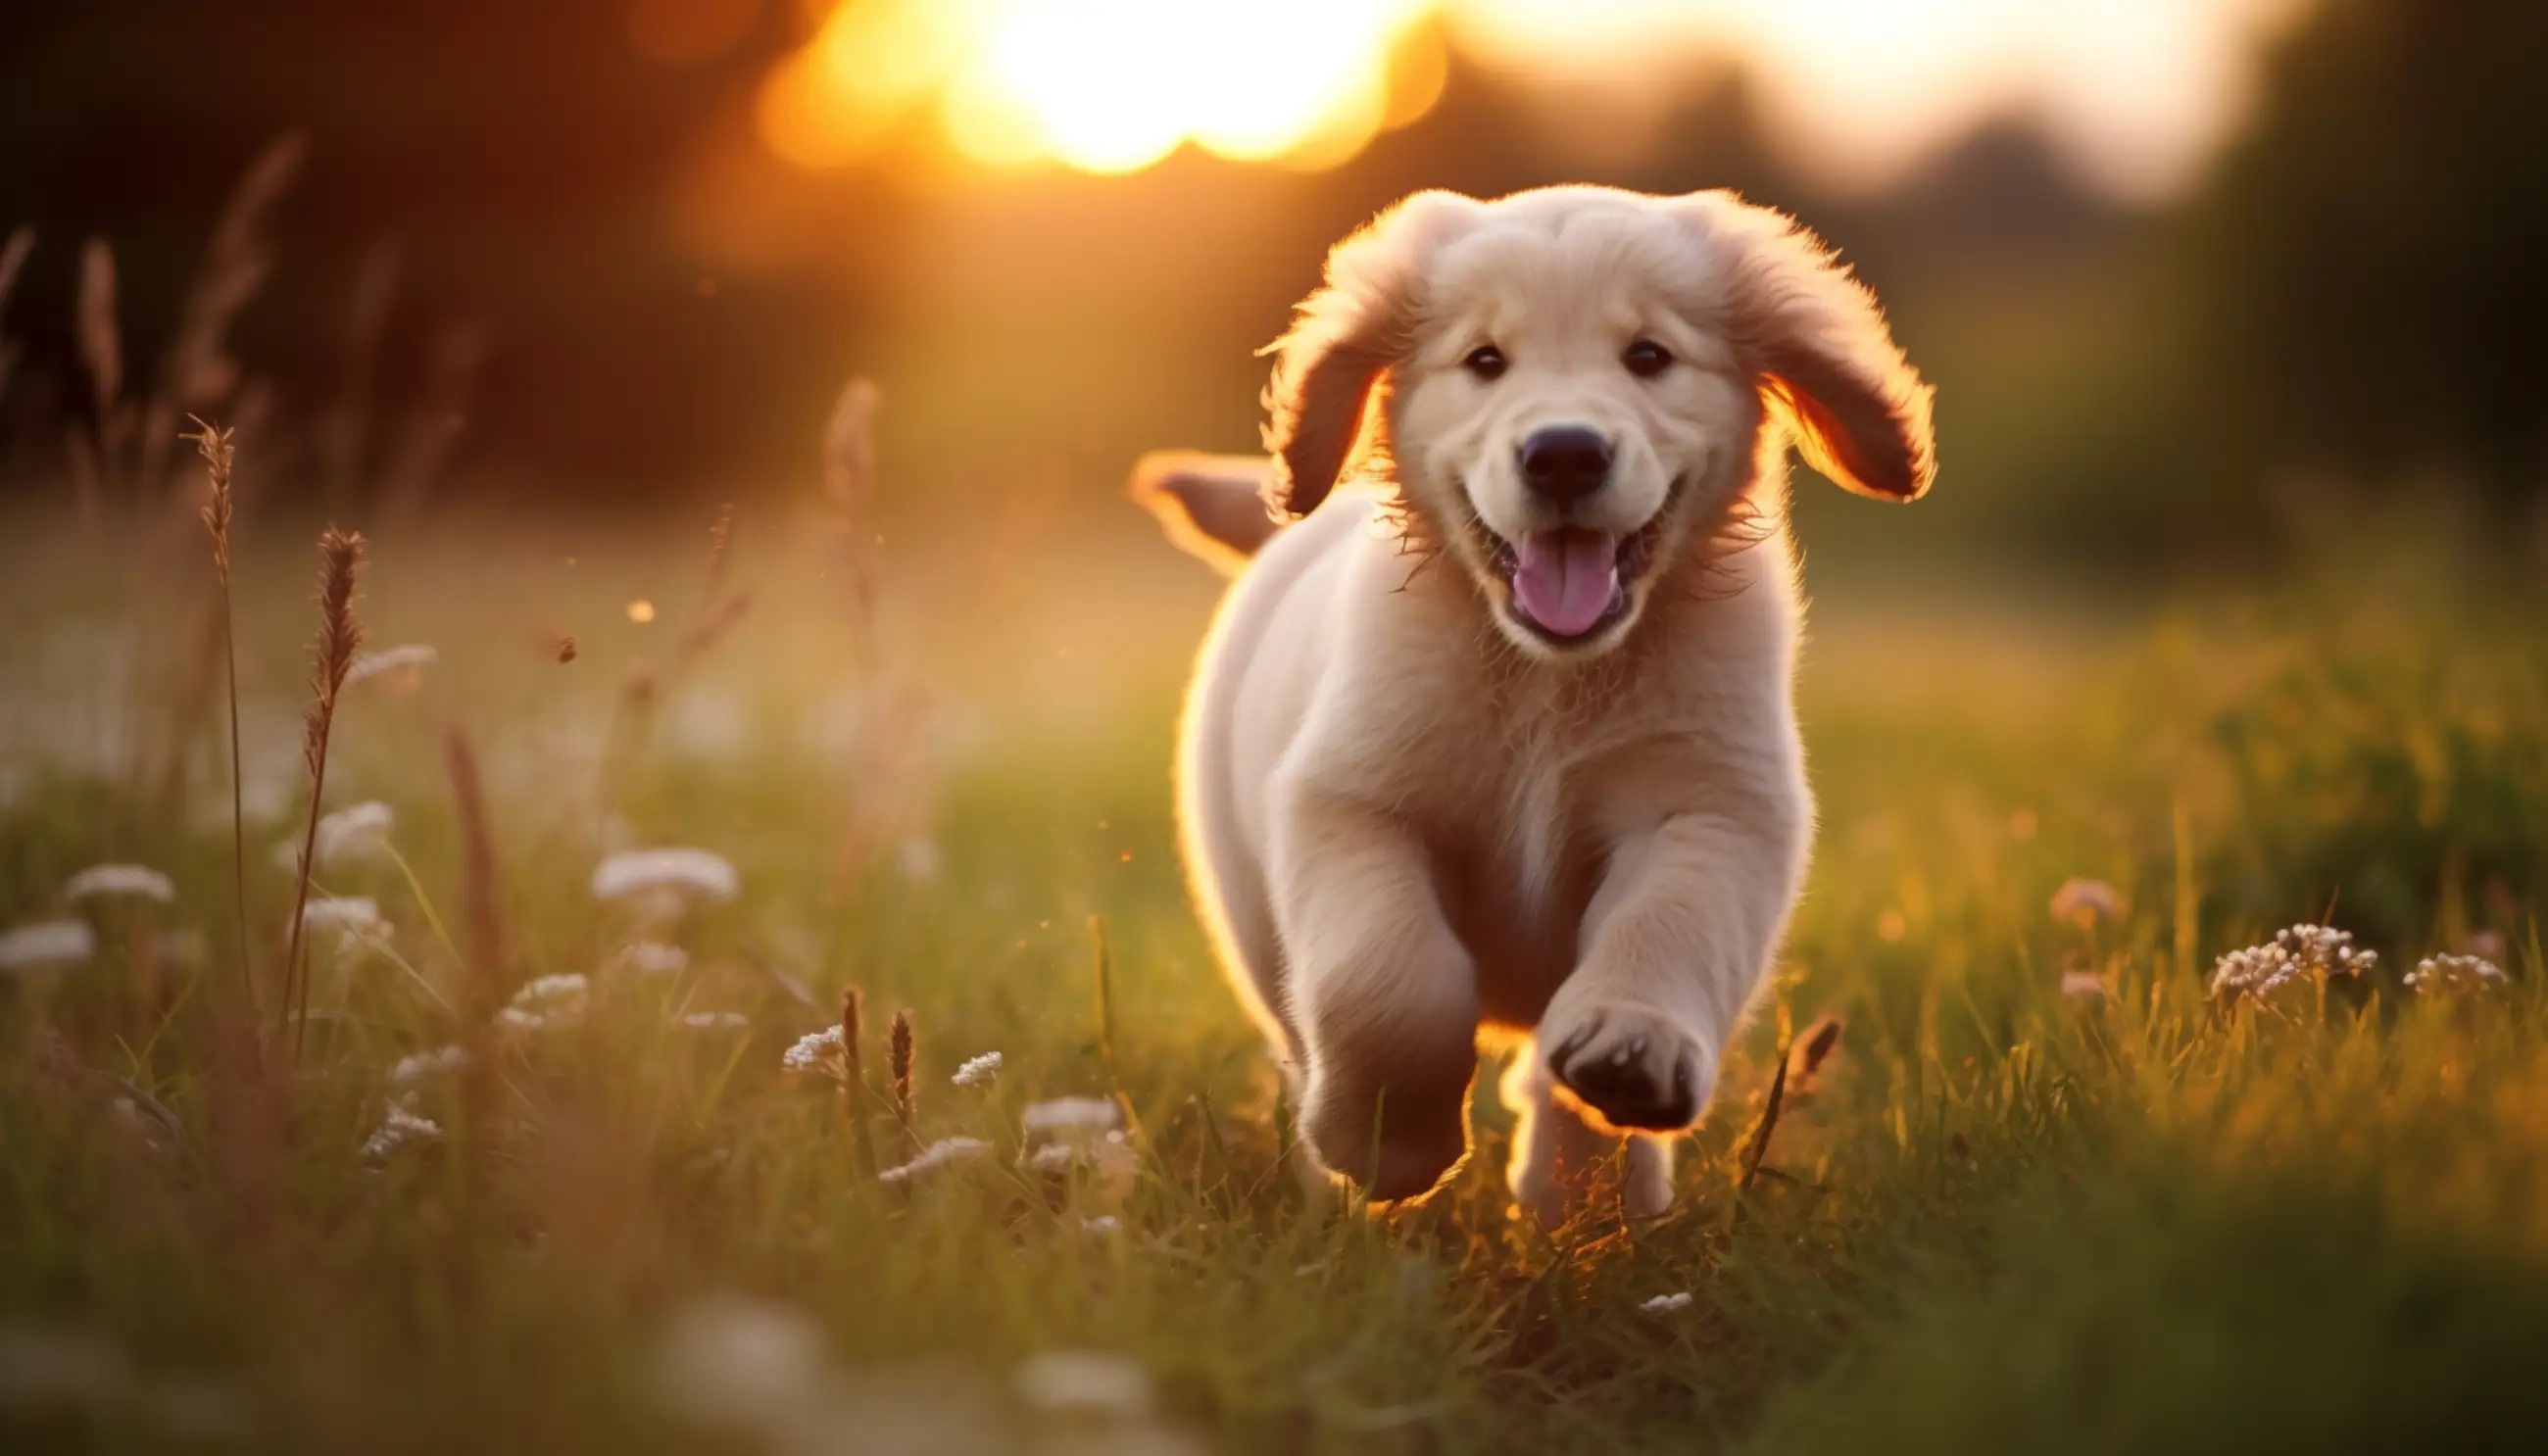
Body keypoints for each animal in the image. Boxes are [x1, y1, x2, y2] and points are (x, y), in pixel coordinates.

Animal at [1136, 184, 1926, 1227]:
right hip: (1250, 914)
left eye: (1648, 356)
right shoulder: (1352, 802)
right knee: (1307, 1024)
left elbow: (1666, 924)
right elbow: (1387, 978)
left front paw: (1631, 1053)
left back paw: (1590, 1196)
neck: (1549, 679)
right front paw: (1387, 1141)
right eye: (1484, 361)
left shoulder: (1714, 805)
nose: (1563, 455)